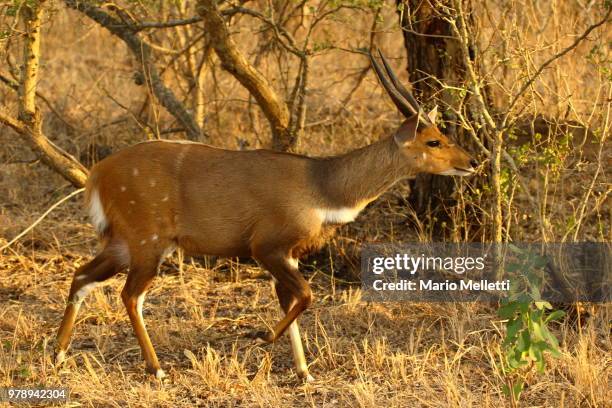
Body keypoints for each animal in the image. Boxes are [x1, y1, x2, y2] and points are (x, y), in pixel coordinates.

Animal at [55, 50, 478, 380]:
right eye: (434, 140)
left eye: (443, 134)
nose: (472, 162)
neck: (322, 186)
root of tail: (98, 173)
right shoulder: (266, 247)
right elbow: (306, 296)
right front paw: (261, 338)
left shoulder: (289, 255)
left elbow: (292, 301)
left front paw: (305, 372)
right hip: (149, 242)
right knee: (130, 294)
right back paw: (156, 368)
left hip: (124, 243)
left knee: (82, 276)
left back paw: (59, 353)